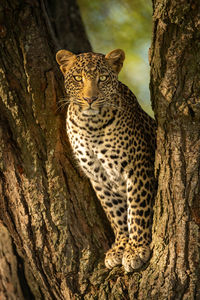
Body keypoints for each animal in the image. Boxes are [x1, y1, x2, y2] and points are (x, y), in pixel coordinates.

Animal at [55, 48, 156, 272]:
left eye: (102, 78)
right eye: (78, 78)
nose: (90, 99)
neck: (91, 125)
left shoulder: (137, 167)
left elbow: (136, 209)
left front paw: (136, 249)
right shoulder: (98, 177)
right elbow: (115, 214)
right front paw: (120, 248)